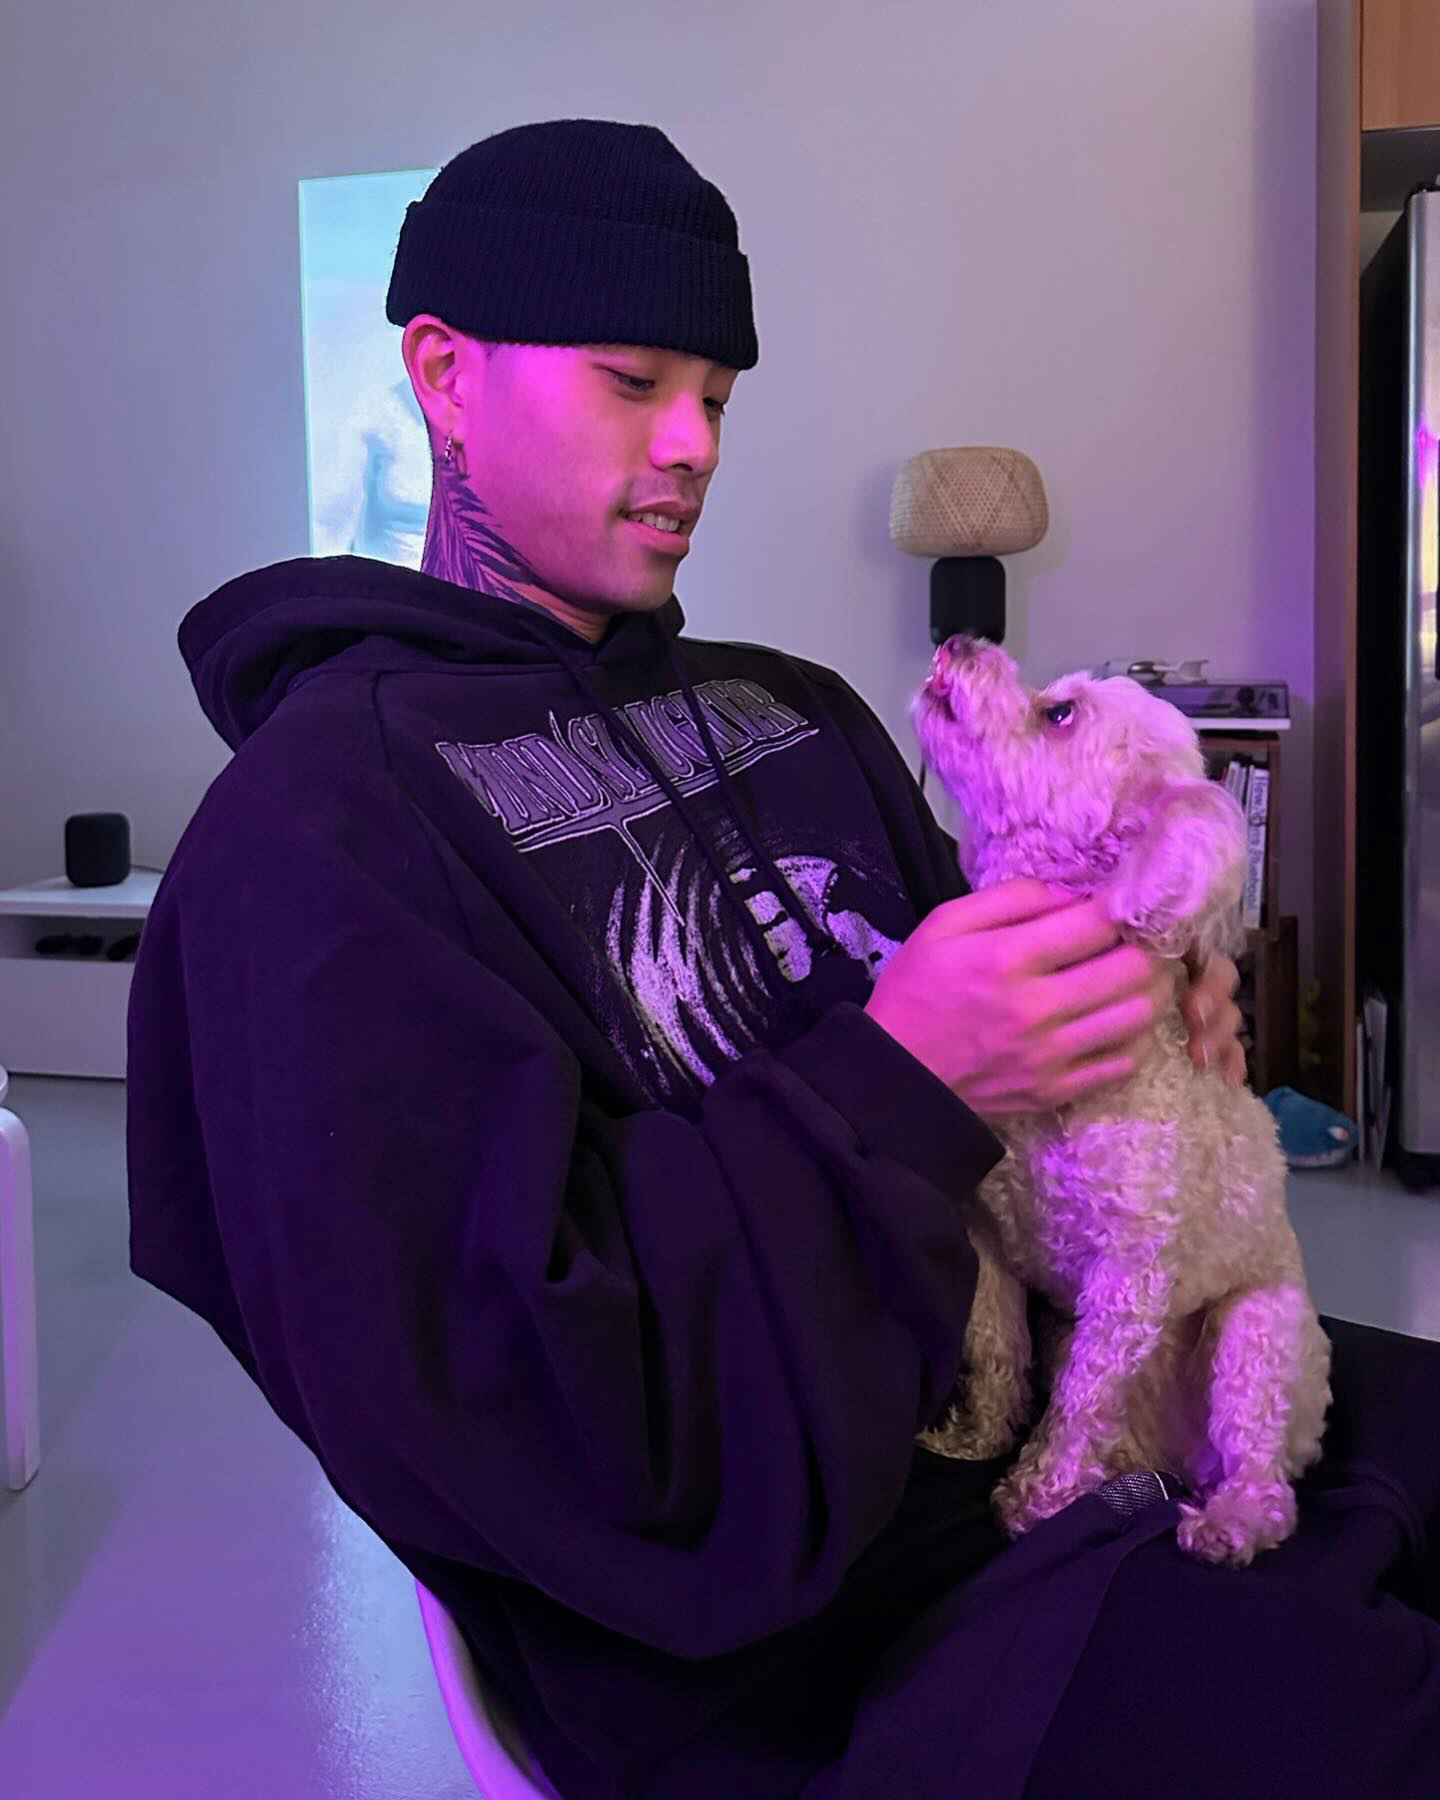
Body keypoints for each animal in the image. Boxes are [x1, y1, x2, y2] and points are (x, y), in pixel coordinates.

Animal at [910, 635, 1330, 1566]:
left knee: (1266, 1478)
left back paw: (1228, 1521)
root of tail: (1170, 1458)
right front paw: (980, 1437)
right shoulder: (985, 1237)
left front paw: (1038, 1498)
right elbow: (994, 1346)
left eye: (1058, 712)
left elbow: (1078, 1403)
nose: (962, 641)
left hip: (1259, 1340)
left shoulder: (1128, 1284)